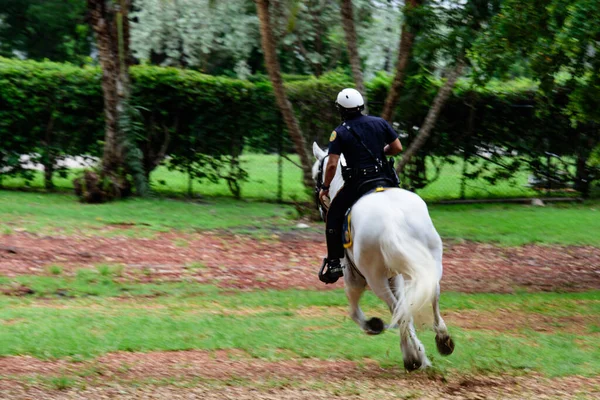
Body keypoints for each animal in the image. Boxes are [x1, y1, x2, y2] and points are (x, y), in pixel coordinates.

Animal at [312, 142, 452, 370]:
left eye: (317, 173)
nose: (320, 205)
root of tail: (392, 217)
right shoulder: (396, 276)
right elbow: (407, 310)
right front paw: (420, 354)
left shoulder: (354, 278)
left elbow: (354, 311)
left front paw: (373, 326)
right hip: (429, 263)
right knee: (430, 295)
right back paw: (442, 339)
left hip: (374, 279)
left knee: (397, 308)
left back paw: (412, 358)